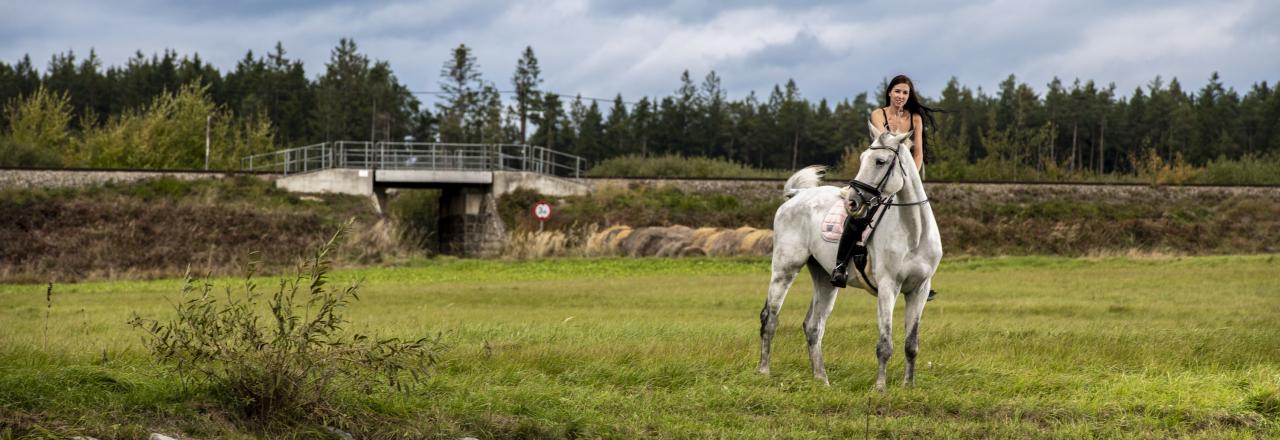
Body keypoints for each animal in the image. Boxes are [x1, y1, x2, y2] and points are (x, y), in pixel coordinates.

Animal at [752, 120, 947, 388]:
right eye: (863, 157)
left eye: (880, 161)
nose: (852, 202)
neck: (914, 232)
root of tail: (797, 196)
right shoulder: (888, 287)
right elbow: (885, 344)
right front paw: (880, 387)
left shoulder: (919, 289)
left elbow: (911, 344)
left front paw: (908, 386)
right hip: (785, 269)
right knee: (770, 318)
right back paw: (764, 371)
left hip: (825, 278)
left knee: (813, 326)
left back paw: (821, 379)